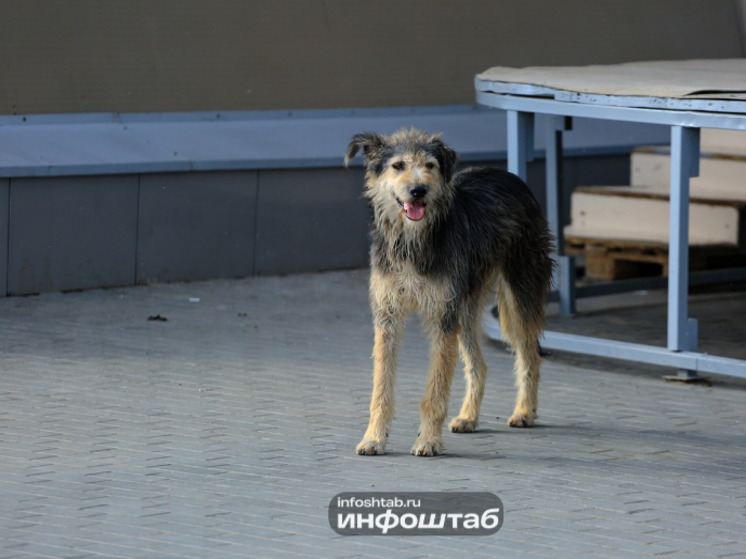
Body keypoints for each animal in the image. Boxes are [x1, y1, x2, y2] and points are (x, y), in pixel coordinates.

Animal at [344, 129, 552, 458]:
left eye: (430, 166)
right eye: (398, 166)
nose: (418, 191)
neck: (412, 242)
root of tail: (511, 176)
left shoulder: (443, 317)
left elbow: (436, 390)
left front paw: (428, 440)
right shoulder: (387, 316)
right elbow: (381, 389)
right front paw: (374, 438)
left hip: (520, 293)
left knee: (530, 356)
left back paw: (524, 412)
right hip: (465, 308)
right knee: (479, 365)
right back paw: (469, 416)